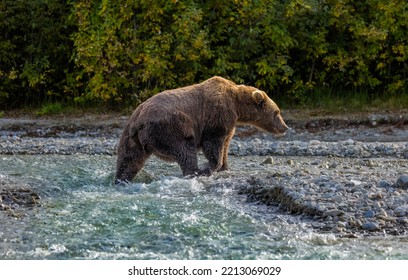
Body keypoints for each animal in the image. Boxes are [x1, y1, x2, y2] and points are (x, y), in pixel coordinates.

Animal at [115, 75, 286, 184]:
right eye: (277, 113)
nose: (285, 127)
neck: (237, 105)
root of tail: (139, 122)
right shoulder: (217, 115)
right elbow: (213, 144)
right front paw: (212, 167)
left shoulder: (230, 123)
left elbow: (226, 144)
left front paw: (225, 167)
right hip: (169, 129)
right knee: (185, 151)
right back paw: (196, 172)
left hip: (131, 136)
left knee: (129, 159)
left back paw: (121, 178)